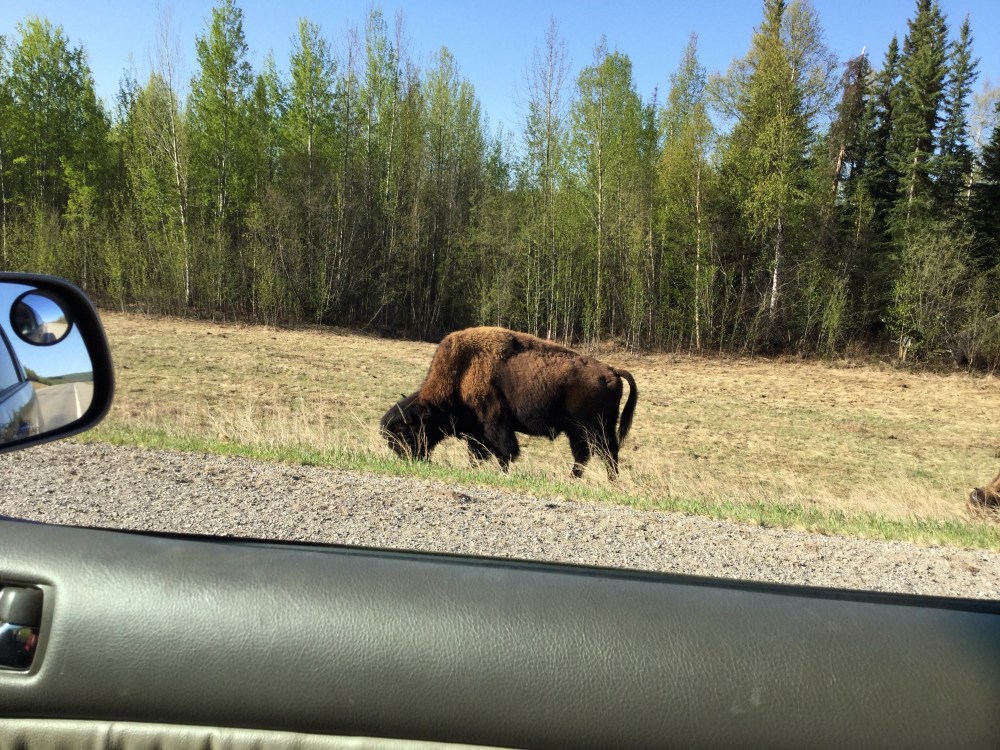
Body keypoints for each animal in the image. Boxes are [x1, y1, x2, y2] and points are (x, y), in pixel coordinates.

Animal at [380, 327, 638, 479]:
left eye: (407, 433)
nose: (407, 459)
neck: (461, 373)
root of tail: (611, 371)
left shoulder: (494, 424)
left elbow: (504, 452)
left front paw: (501, 472)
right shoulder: (477, 432)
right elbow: (480, 453)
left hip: (594, 429)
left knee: (605, 453)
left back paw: (606, 480)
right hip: (582, 430)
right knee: (588, 454)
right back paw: (578, 478)